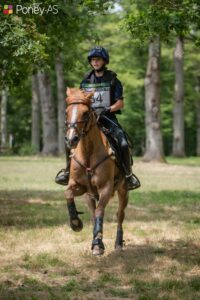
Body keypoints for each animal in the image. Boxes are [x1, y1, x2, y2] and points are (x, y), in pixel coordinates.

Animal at [65, 87, 129, 255]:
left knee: (120, 215)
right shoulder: (80, 187)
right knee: (94, 214)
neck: (88, 153)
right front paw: (76, 223)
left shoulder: (105, 188)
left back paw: (118, 243)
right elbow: (68, 194)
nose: (71, 139)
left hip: (123, 190)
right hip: (89, 196)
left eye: (85, 113)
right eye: (66, 112)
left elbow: (100, 212)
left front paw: (98, 244)